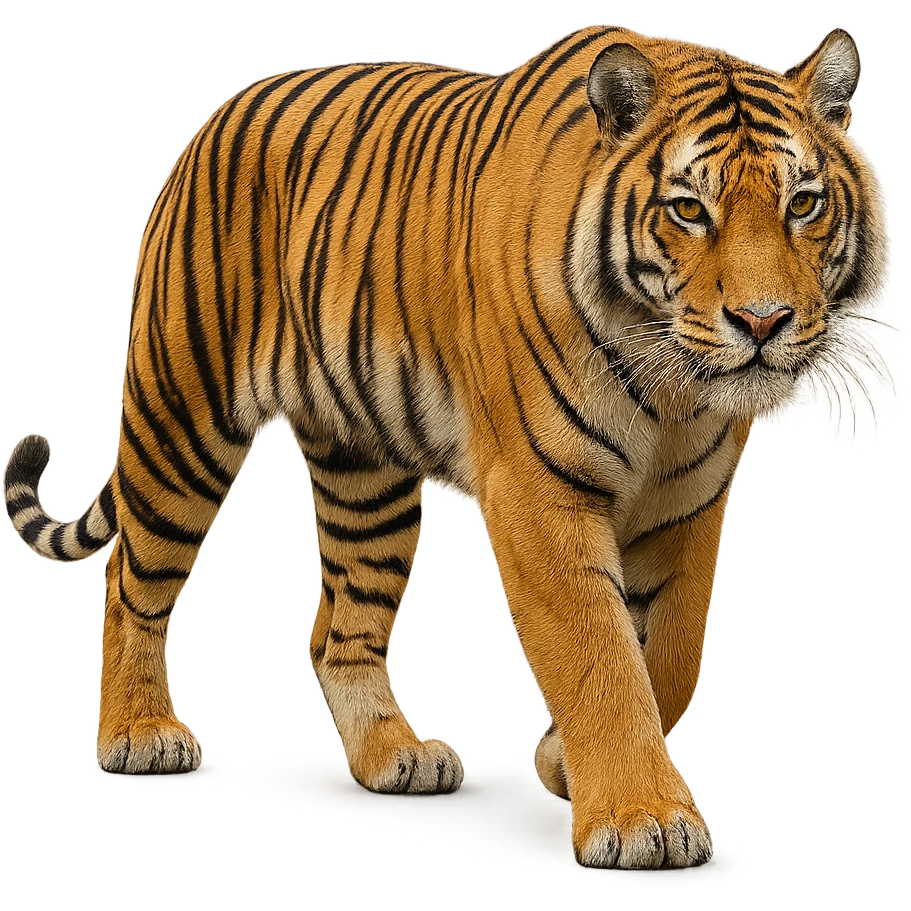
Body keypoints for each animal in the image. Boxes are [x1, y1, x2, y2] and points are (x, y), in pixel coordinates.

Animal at [2, 24, 886, 870]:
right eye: (689, 210)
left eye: (802, 203)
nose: (762, 322)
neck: (668, 386)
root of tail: (219, 113)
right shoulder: (537, 492)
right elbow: (600, 656)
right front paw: (647, 820)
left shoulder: (687, 505)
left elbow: (664, 657)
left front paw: (570, 764)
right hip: (183, 416)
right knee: (129, 579)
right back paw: (139, 733)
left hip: (365, 478)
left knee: (337, 631)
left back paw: (395, 754)